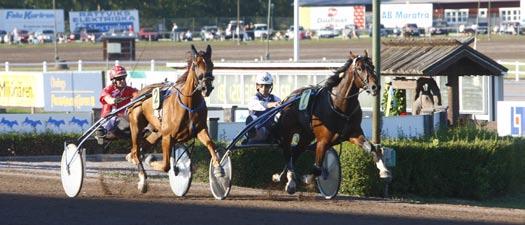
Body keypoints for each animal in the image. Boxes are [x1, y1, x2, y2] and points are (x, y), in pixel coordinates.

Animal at [128, 45, 224, 192]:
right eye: (195, 64)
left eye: (212, 64)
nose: (206, 87)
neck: (189, 105)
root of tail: (140, 92)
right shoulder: (167, 137)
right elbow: (166, 165)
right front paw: (151, 161)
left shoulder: (200, 129)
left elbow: (210, 144)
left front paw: (219, 169)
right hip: (136, 126)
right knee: (135, 152)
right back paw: (142, 180)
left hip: (157, 131)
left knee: (141, 148)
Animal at [274, 50, 388, 194]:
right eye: (360, 68)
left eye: (372, 67)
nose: (375, 87)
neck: (340, 105)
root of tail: (288, 98)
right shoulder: (323, 140)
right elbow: (317, 168)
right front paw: (307, 178)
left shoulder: (353, 133)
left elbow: (372, 148)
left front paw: (384, 171)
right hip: (288, 132)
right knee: (288, 153)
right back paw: (289, 181)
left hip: (306, 135)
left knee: (295, 153)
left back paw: (286, 178)